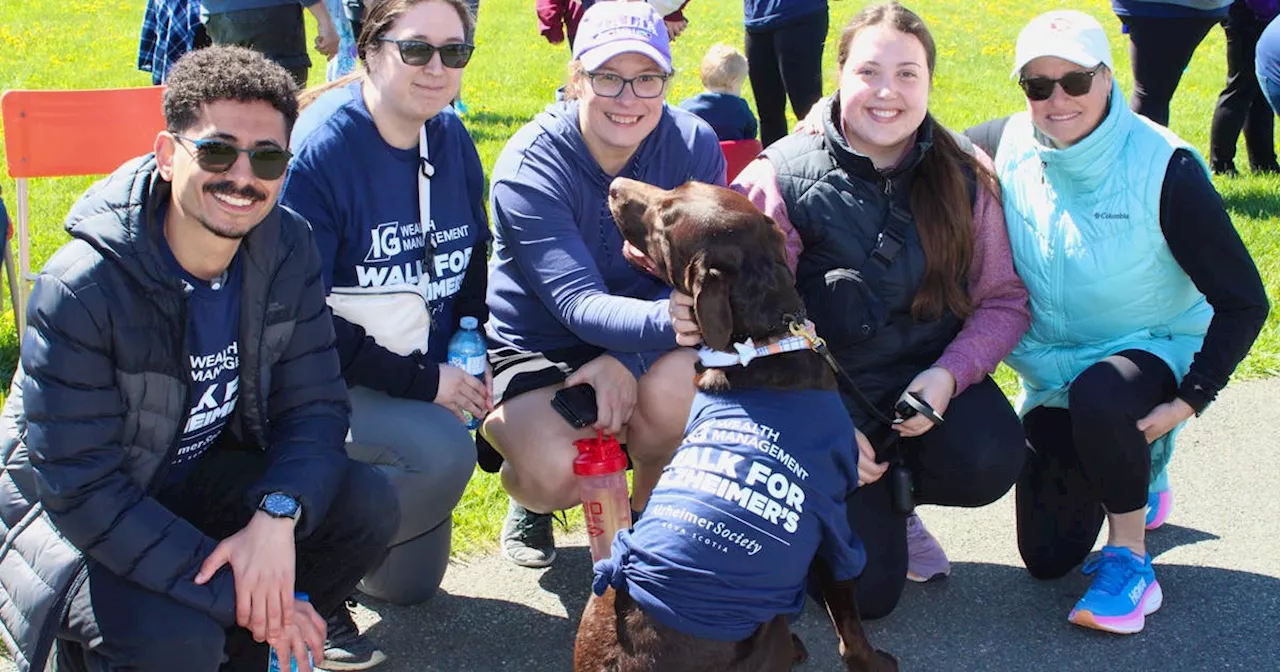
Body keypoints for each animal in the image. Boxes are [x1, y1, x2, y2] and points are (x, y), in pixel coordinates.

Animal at [576, 177, 896, 670]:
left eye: (666, 218)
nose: (614, 185)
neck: (764, 344)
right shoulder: (833, 525)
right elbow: (848, 617)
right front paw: (872, 661)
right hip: (767, 633)